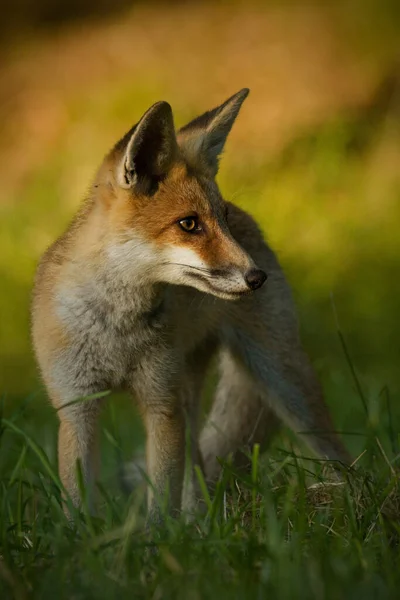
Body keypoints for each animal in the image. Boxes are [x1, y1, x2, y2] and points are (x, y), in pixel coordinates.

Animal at [31, 89, 350, 520]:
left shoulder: (161, 403)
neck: (117, 328)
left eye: (222, 218)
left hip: (282, 380)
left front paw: (160, 537)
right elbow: (78, 502)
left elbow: (161, 501)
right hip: (192, 389)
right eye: (189, 224)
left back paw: (357, 496)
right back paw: (200, 521)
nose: (256, 277)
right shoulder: (77, 405)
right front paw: (83, 536)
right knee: (197, 462)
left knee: (335, 451)